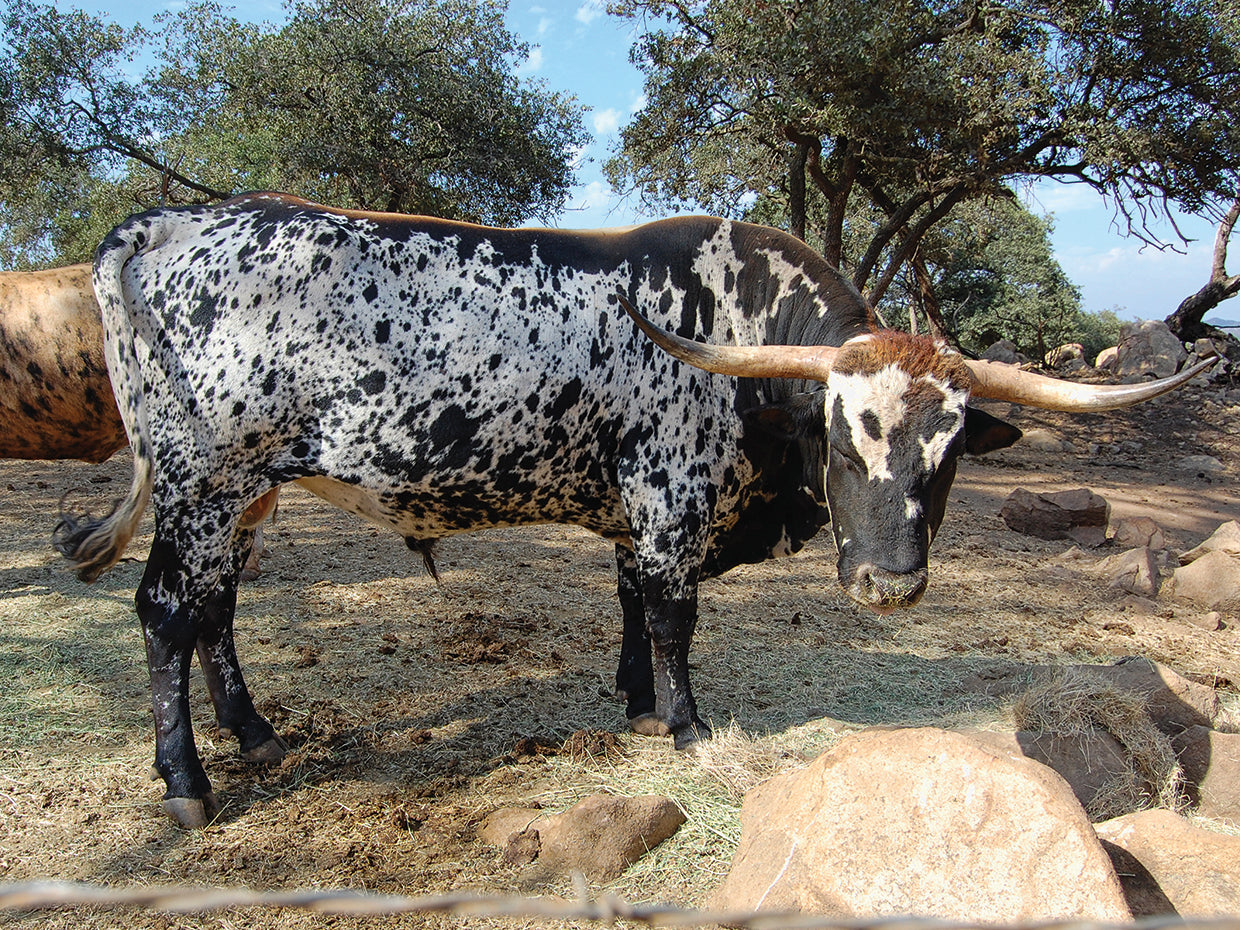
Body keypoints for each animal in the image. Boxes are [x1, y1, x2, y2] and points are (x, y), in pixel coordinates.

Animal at [54, 192, 1213, 826]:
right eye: (842, 440)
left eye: (951, 454)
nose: (887, 585)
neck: (737, 332)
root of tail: (171, 221)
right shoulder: (670, 500)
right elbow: (670, 615)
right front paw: (689, 725)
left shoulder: (632, 515)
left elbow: (628, 608)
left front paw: (638, 703)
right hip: (205, 483)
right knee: (166, 614)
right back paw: (186, 782)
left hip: (243, 495)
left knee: (215, 611)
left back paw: (253, 732)